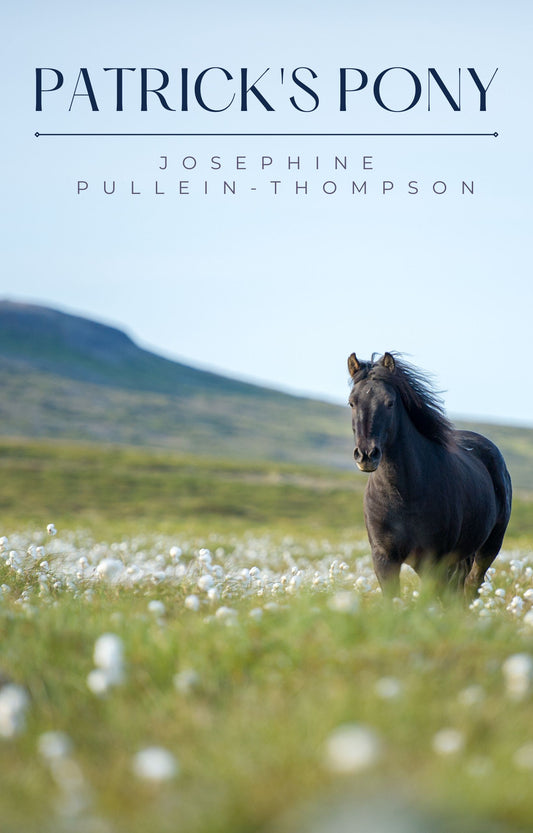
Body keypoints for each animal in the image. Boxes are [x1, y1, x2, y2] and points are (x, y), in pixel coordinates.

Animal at [347, 351, 512, 600]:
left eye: (389, 402)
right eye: (352, 402)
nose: (366, 455)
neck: (403, 494)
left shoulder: (433, 561)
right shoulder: (384, 559)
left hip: (488, 547)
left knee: (472, 585)